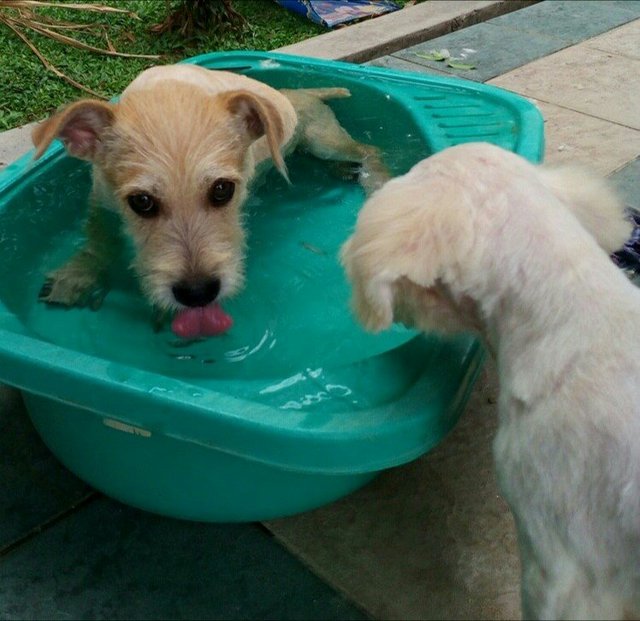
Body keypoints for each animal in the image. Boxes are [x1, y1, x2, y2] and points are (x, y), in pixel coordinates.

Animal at [33, 63, 390, 334]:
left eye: (222, 190)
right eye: (141, 202)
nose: (197, 294)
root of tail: (303, 93)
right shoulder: (100, 201)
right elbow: (99, 240)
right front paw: (75, 276)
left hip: (322, 139)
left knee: (368, 150)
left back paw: (376, 182)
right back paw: (344, 172)